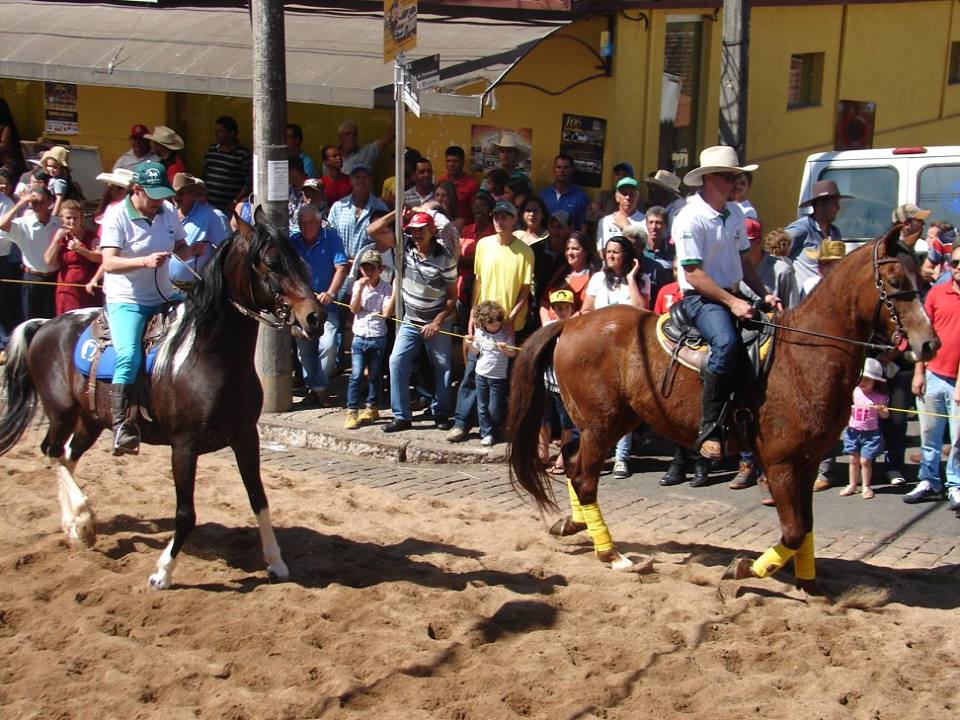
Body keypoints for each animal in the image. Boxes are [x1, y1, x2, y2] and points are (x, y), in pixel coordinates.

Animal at [0, 211, 323, 589]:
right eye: (272, 262)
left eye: (300, 260)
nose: (315, 317)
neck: (206, 356)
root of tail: (45, 324)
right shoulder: (183, 446)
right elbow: (185, 513)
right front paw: (162, 572)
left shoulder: (246, 437)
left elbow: (259, 499)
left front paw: (276, 562)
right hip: (61, 412)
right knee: (51, 452)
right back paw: (82, 517)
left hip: (90, 421)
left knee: (67, 455)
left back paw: (77, 526)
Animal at [507, 225, 939, 590]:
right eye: (896, 282)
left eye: (923, 281)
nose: (930, 344)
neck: (804, 356)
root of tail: (572, 324)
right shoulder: (781, 463)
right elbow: (794, 530)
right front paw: (744, 568)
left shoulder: (808, 461)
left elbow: (806, 528)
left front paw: (809, 583)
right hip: (601, 425)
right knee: (583, 476)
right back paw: (612, 554)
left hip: (611, 421)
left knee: (573, 461)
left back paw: (574, 526)